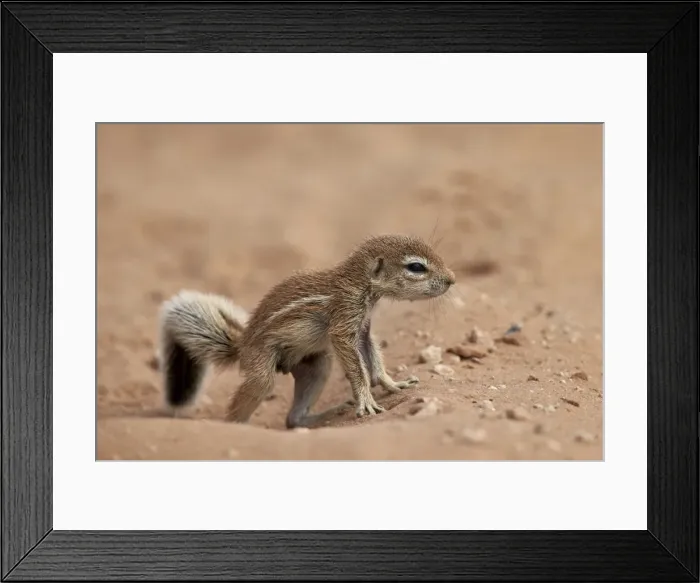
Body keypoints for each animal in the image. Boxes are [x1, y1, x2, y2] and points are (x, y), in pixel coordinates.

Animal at [157, 234, 456, 429]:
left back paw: (322, 415)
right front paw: (366, 401)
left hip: (318, 365)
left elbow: (373, 357)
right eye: (416, 267)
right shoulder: (343, 322)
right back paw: (234, 427)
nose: (452, 279)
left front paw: (393, 384)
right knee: (251, 397)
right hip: (261, 369)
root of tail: (242, 346)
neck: (358, 283)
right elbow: (357, 368)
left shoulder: (362, 328)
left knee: (293, 419)